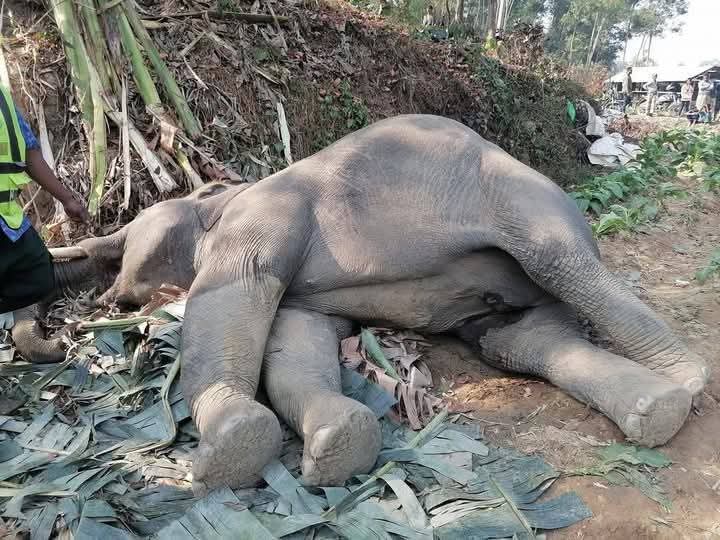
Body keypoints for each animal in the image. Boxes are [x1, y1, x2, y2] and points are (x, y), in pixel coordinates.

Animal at [13, 114, 708, 496]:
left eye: (131, 237)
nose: (109, 298)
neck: (223, 197)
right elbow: (297, 338)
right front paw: (339, 442)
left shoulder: (265, 215)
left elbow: (238, 289)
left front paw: (229, 450)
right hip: (505, 290)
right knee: (523, 339)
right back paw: (657, 409)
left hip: (529, 208)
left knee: (562, 265)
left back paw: (685, 383)